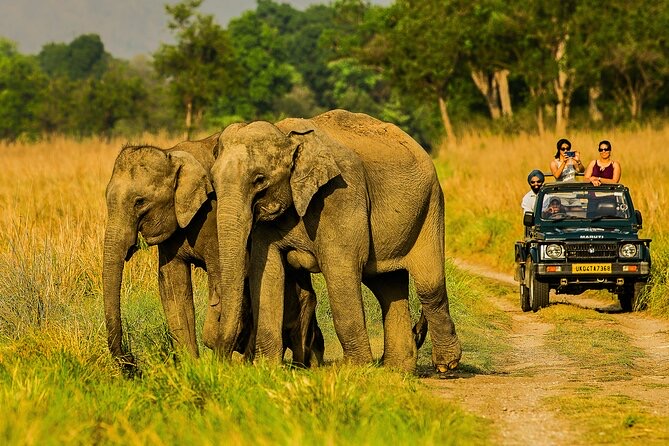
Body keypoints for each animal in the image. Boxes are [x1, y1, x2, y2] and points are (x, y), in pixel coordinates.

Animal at [102, 132, 324, 372]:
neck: (172, 155)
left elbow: (220, 279)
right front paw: (190, 366)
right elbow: (172, 285)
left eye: (139, 202)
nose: (132, 364)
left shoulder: (213, 216)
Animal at [211, 109, 461, 374]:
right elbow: (267, 272)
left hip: (430, 205)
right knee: (387, 286)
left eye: (259, 180)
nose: (223, 361)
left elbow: (340, 269)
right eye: (213, 182)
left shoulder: (341, 194)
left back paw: (445, 365)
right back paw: (396, 371)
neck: (287, 135)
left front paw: (356, 369)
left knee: (429, 285)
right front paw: (267, 368)